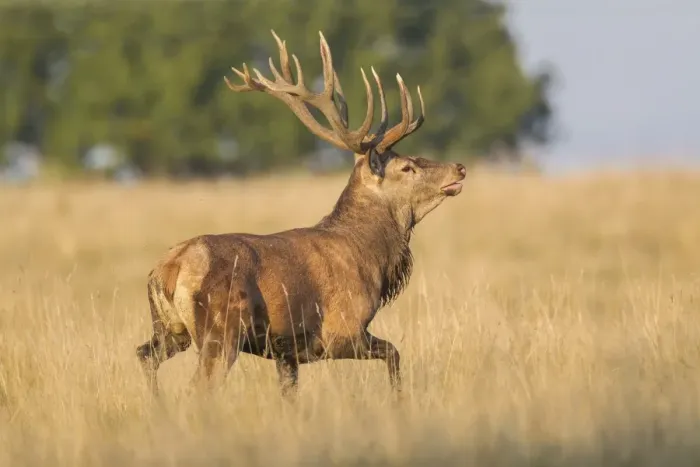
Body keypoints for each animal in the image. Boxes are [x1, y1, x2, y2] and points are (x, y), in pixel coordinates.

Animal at [135, 30, 466, 398]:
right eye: (407, 167)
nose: (459, 167)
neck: (373, 261)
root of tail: (168, 270)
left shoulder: (286, 353)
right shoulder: (341, 331)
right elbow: (394, 353)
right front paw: (397, 400)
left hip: (170, 328)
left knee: (145, 354)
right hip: (220, 332)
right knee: (198, 386)